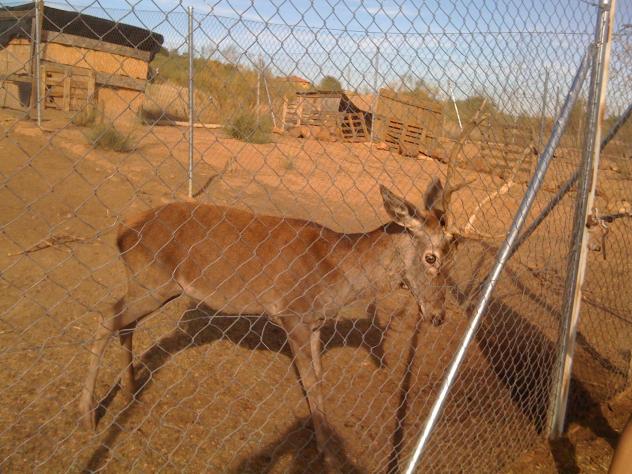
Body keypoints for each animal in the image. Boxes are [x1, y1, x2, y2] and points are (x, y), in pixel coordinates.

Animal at [79, 177, 460, 464]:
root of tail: (122, 232)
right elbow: (311, 380)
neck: (335, 277)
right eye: (431, 258)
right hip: (152, 281)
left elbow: (318, 375)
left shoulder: (315, 322)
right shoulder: (292, 314)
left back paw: (130, 389)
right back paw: (88, 415)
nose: (438, 316)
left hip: (151, 286)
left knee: (123, 321)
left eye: (451, 256)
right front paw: (325, 450)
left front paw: (319, 433)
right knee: (105, 317)